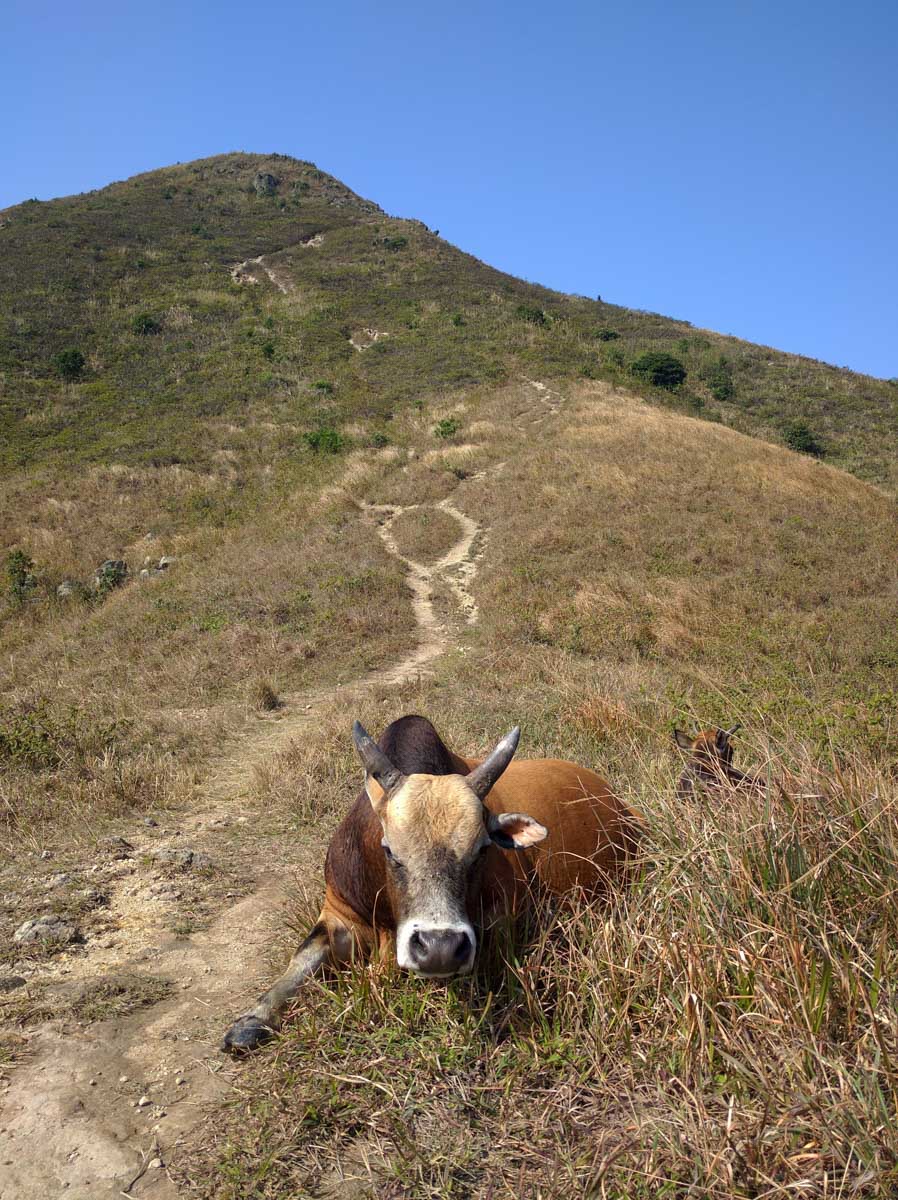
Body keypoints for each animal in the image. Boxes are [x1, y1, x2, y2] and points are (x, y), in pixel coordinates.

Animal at [223, 710, 638, 1051]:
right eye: (389, 849)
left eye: (481, 850)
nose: (439, 949)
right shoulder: (338, 911)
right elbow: (302, 957)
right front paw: (252, 1019)